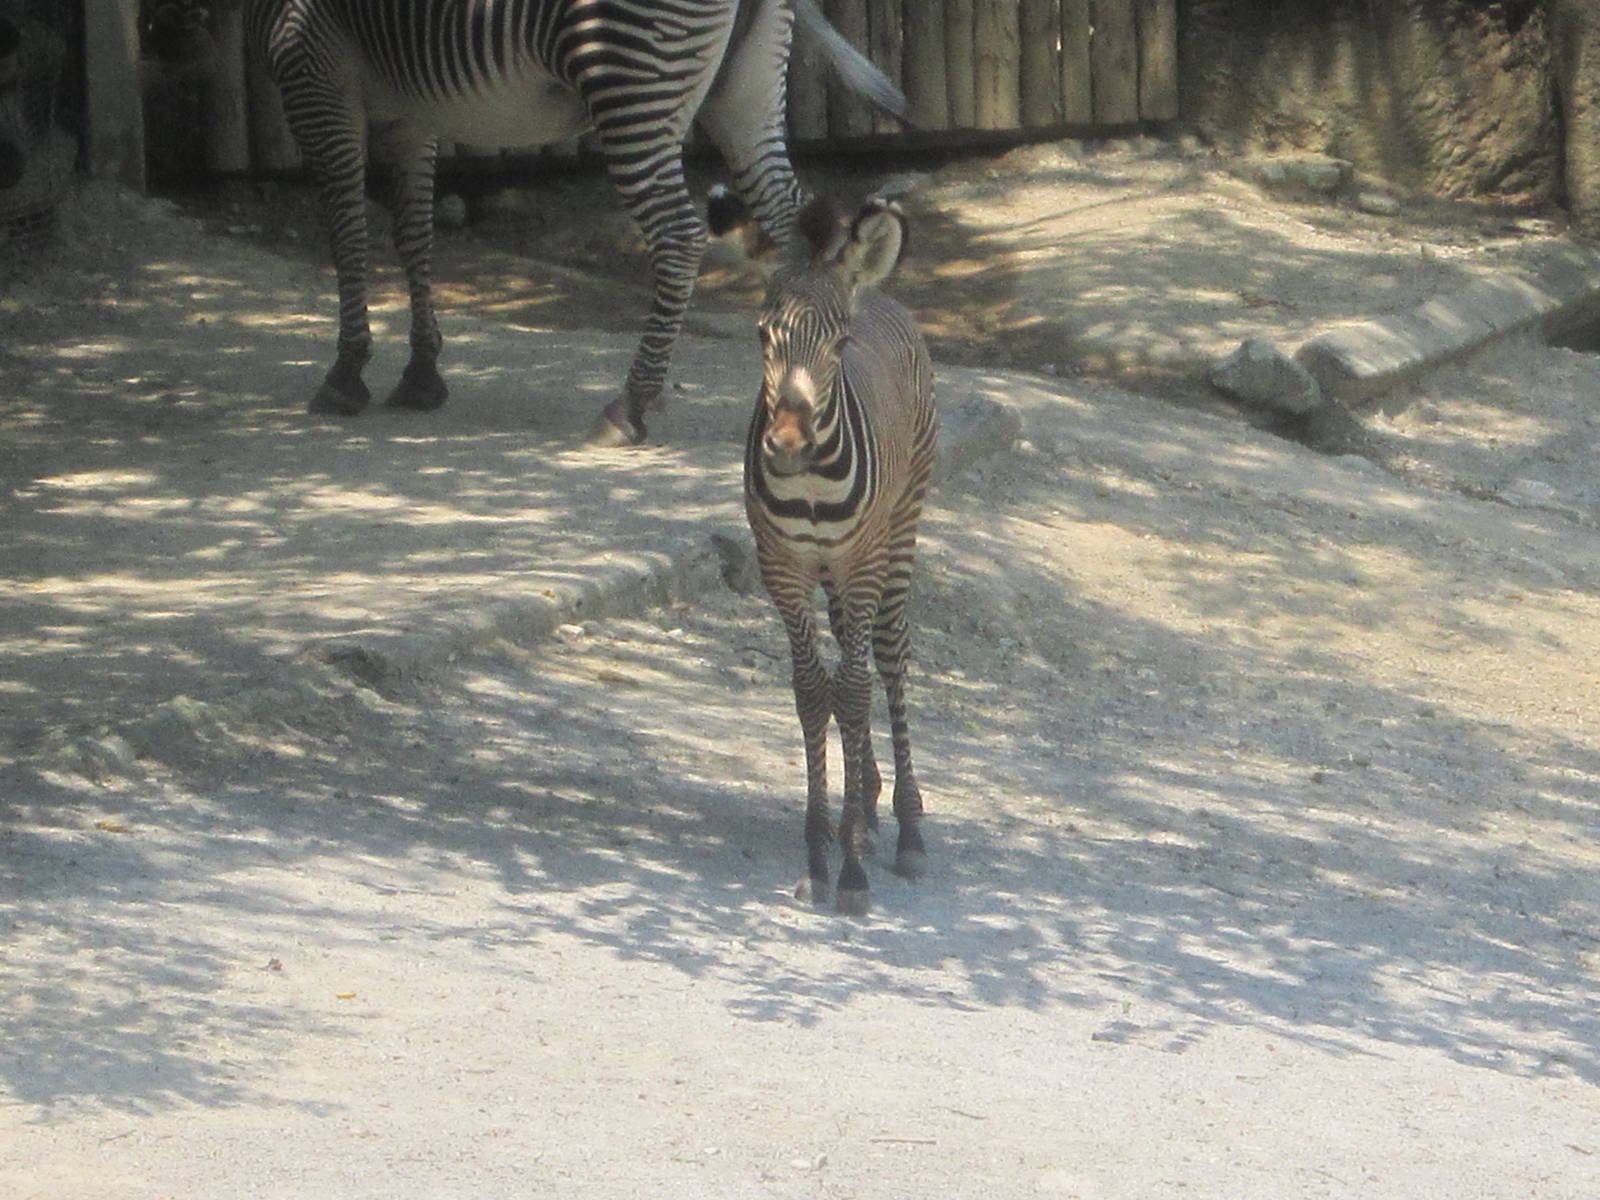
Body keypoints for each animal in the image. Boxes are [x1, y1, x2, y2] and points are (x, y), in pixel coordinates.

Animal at [245, 0, 907, 444]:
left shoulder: (313, 71)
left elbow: (348, 234)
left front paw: (347, 370)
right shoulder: (411, 109)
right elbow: (414, 236)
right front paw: (422, 372)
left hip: (632, 79)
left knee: (679, 236)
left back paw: (631, 404)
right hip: (748, 89)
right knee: (793, 224)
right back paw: (801, 390)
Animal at [710, 187, 936, 915]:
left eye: (839, 343)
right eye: (762, 335)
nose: (786, 445)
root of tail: (879, 293)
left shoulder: (861, 562)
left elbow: (856, 690)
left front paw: (855, 869)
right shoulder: (781, 566)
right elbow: (816, 692)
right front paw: (821, 851)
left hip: (899, 529)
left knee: (888, 655)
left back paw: (906, 826)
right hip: (835, 571)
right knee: (847, 655)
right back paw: (861, 802)